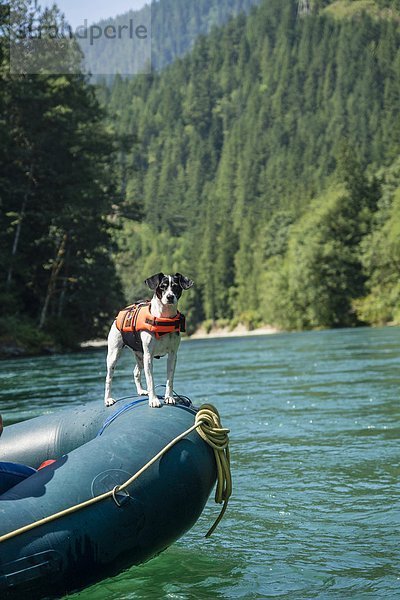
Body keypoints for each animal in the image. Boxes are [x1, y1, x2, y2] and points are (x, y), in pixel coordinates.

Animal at [104, 274, 193, 410]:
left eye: (176, 287)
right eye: (162, 286)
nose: (170, 297)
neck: (164, 319)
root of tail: (117, 317)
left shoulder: (173, 355)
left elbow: (170, 379)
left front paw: (169, 397)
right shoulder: (149, 356)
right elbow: (151, 381)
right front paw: (154, 400)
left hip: (140, 356)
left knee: (136, 371)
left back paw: (141, 391)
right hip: (114, 355)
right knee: (108, 378)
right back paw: (108, 399)